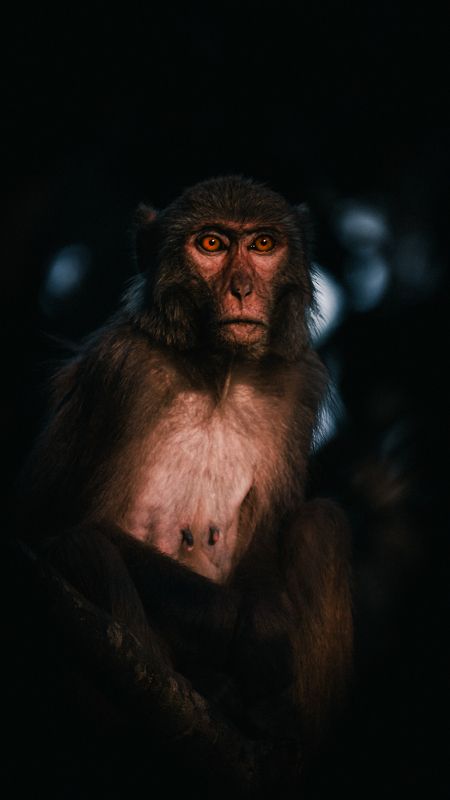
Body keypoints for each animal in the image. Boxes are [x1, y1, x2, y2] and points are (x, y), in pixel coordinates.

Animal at [18, 176, 352, 786]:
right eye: (212, 244)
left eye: (264, 244)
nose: (243, 289)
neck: (217, 371)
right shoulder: (122, 371)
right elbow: (65, 523)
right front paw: (255, 633)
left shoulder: (297, 381)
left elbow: (267, 539)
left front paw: (267, 633)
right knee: (81, 550)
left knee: (323, 524)